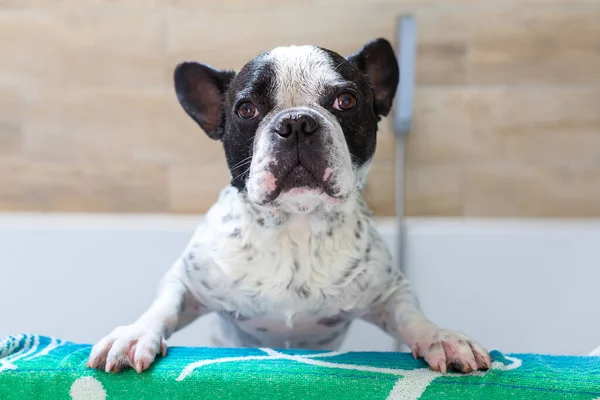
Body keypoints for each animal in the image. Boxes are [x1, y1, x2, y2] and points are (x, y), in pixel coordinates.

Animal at [89, 38, 492, 376]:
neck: (297, 226)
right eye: (246, 109)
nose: (297, 122)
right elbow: (165, 305)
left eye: (346, 101)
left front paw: (441, 337)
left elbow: (411, 315)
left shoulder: (389, 291)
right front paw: (134, 334)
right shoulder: (188, 281)